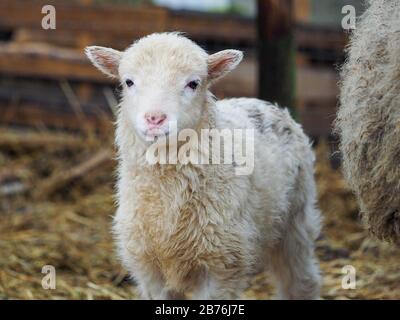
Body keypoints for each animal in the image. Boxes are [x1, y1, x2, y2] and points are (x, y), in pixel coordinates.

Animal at [85, 33, 322, 300]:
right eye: (128, 82)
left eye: (193, 84)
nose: (155, 119)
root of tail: (266, 103)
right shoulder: (148, 269)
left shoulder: (221, 266)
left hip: (296, 218)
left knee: (301, 280)